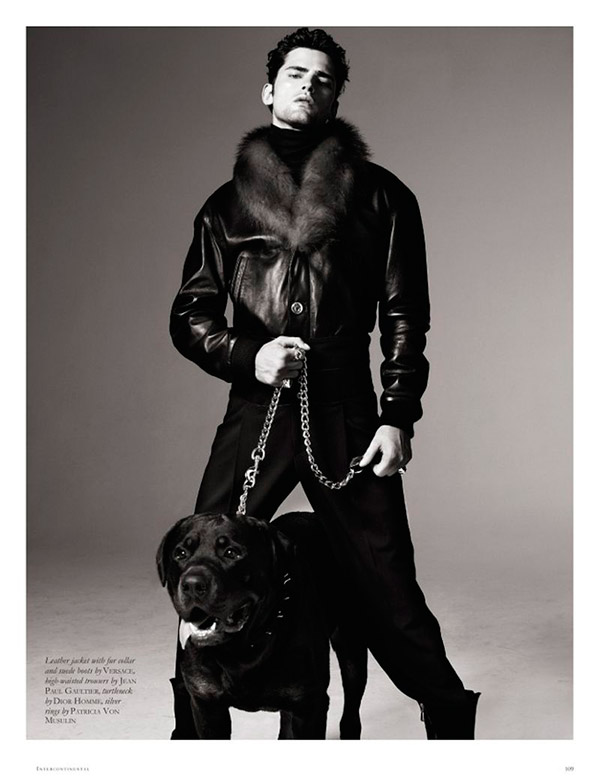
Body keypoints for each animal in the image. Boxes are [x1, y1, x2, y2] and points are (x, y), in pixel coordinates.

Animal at [157, 511, 367, 739]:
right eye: (180, 554)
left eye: (231, 553)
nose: (193, 585)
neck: (240, 651)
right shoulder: (207, 705)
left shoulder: (310, 706)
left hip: (351, 647)